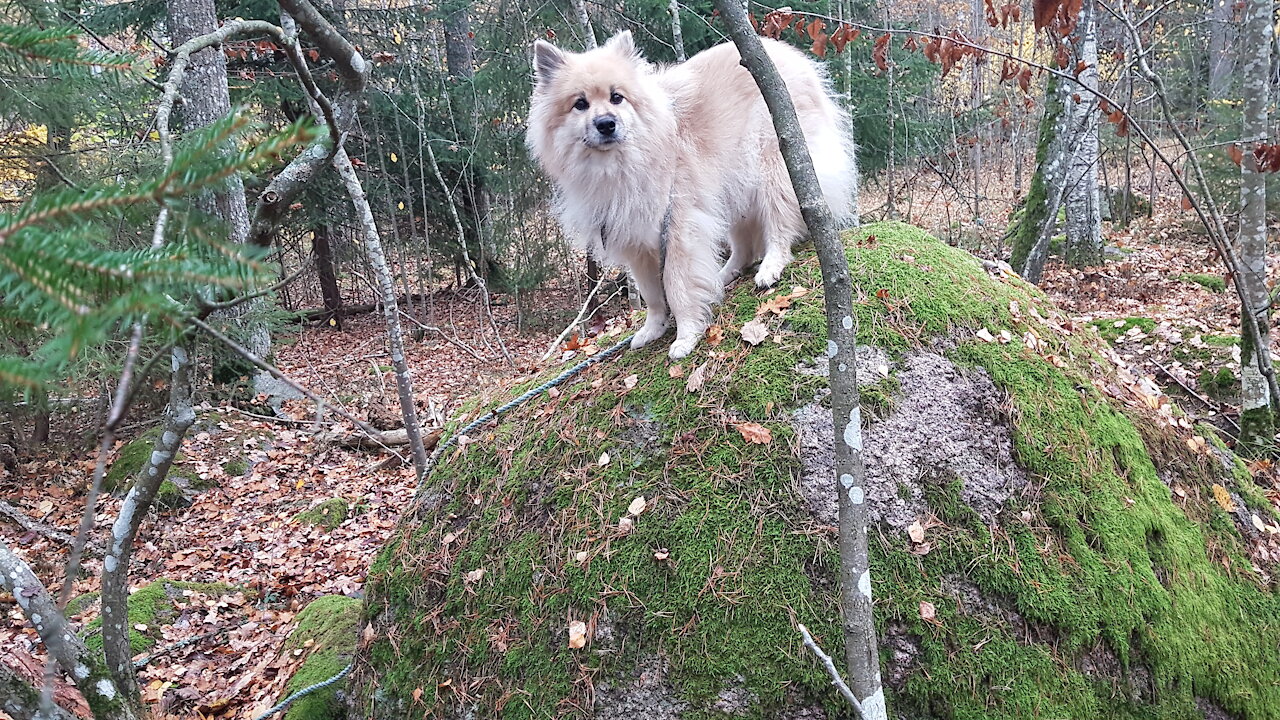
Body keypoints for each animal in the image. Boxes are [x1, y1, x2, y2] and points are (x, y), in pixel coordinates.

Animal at [524, 32, 855, 356]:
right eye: (580, 104)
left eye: (616, 98)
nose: (606, 123)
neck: (623, 163)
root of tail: (787, 55)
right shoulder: (636, 241)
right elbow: (651, 294)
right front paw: (653, 328)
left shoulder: (677, 227)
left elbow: (677, 285)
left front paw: (686, 336)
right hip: (730, 191)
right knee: (744, 246)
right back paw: (723, 275)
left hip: (773, 165)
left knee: (779, 224)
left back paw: (771, 265)